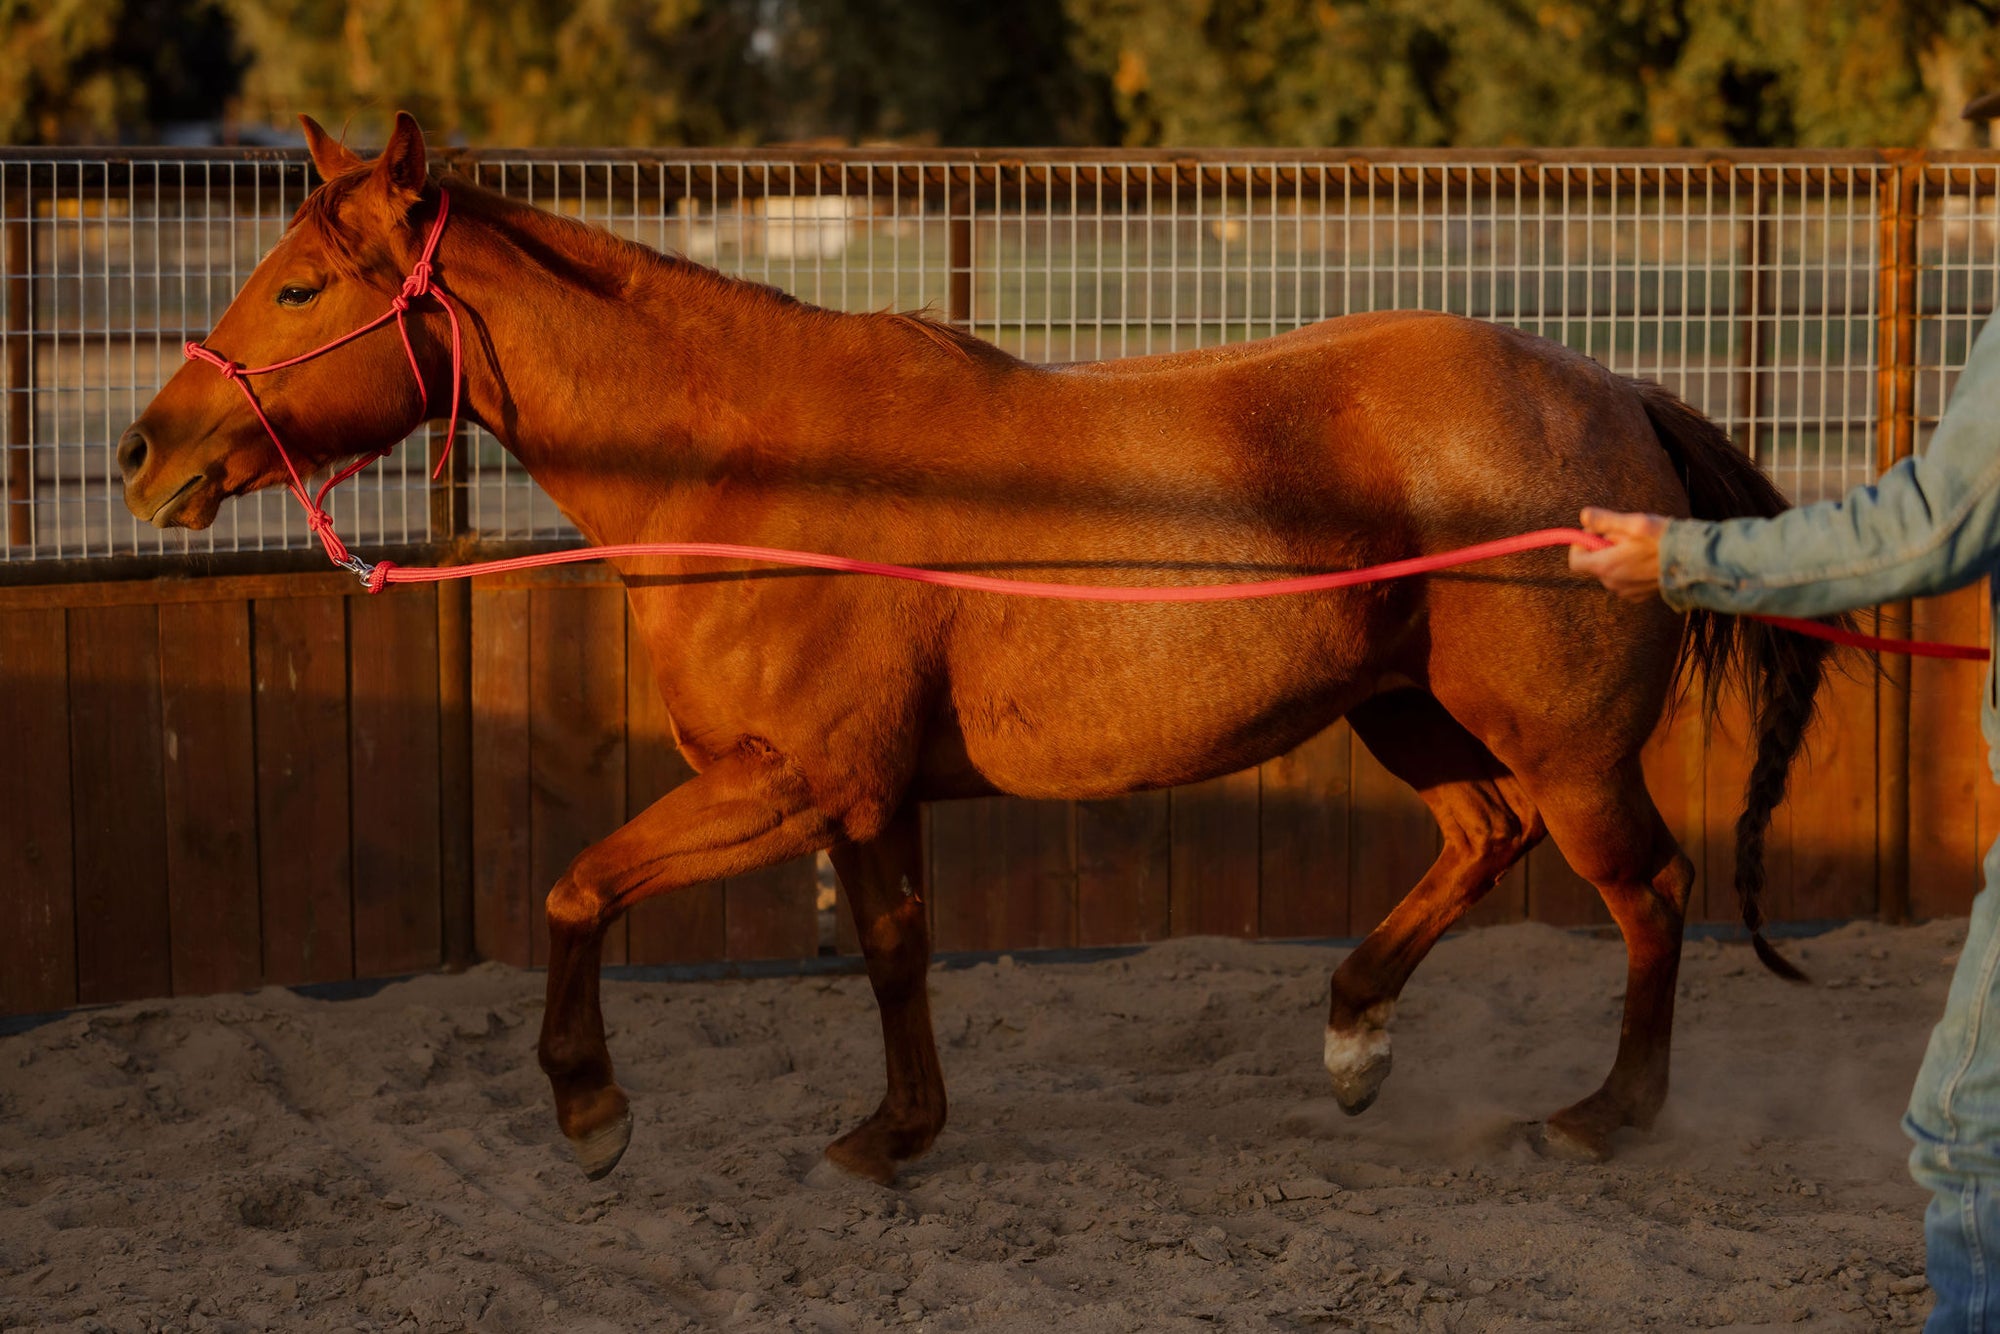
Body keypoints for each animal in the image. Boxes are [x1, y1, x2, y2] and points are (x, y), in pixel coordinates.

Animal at [121, 112, 1832, 1176]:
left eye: (300, 283)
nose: (147, 452)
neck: (761, 470)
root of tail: (1619, 397)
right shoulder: (868, 794)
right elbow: (893, 952)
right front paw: (897, 1133)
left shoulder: (791, 779)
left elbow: (577, 889)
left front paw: (595, 1112)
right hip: (1407, 712)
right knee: (1483, 839)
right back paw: (1353, 1037)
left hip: (1567, 748)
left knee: (1649, 894)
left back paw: (1607, 1115)